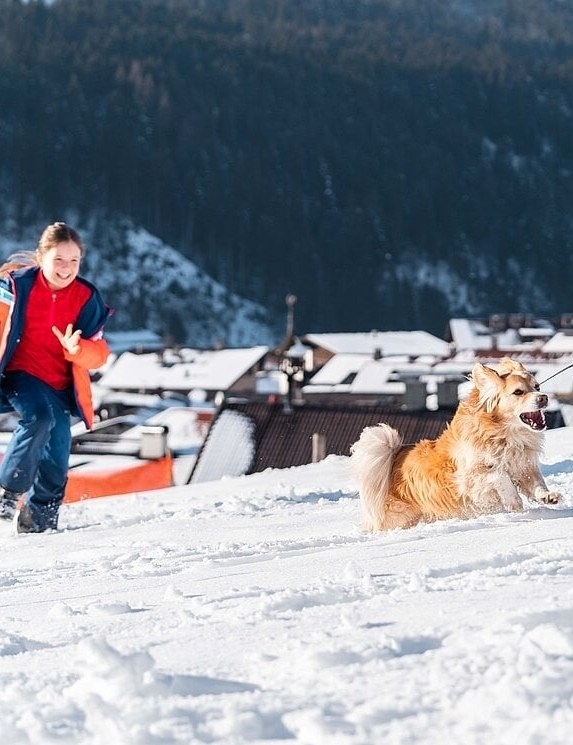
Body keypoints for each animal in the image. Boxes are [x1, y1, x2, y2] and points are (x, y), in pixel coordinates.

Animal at [350, 358, 561, 531]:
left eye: (537, 386)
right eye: (518, 392)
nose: (544, 397)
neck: (505, 436)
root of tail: (394, 456)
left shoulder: (523, 466)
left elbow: (536, 483)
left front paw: (548, 496)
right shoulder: (469, 479)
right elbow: (499, 475)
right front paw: (514, 500)